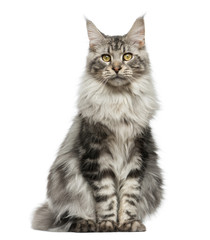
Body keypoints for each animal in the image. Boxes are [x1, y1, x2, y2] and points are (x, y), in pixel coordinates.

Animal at [31, 15, 162, 232]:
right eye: (106, 58)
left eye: (127, 56)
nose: (116, 67)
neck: (118, 102)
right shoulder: (95, 155)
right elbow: (106, 197)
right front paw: (107, 224)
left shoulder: (137, 155)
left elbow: (129, 195)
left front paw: (128, 223)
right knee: (70, 215)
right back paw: (86, 223)